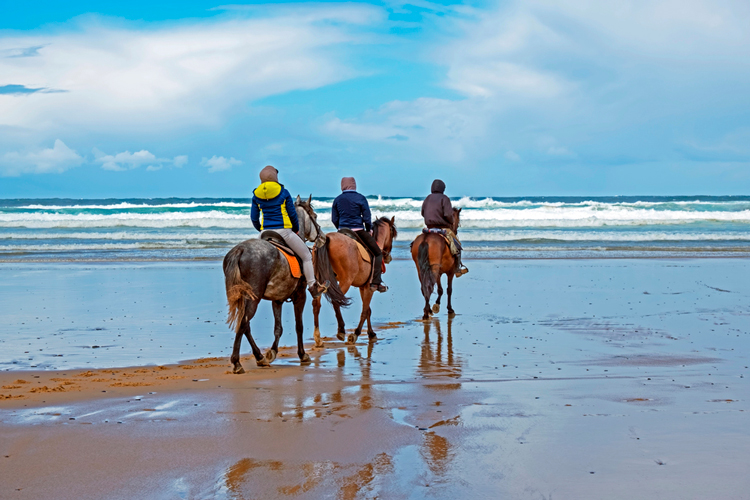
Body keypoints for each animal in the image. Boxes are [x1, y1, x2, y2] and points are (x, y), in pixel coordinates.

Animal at [222, 194, 348, 372]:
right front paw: (302, 354)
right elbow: (299, 326)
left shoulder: (278, 299)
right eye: (315, 216)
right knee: (244, 323)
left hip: (243, 297)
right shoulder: (300, 295)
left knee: (245, 325)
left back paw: (260, 357)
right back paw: (237, 362)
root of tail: (240, 250)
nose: (323, 237)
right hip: (253, 297)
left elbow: (278, 328)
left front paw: (272, 352)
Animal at [296, 199, 400, 344]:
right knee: (336, 301)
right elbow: (365, 310)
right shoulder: (369, 287)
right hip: (345, 281)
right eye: (392, 234)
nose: (388, 257)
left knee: (316, 303)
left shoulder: (363, 287)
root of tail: (327, 239)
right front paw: (356, 334)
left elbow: (368, 310)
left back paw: (317, 337)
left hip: (320, 280)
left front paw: (371, 333)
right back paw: (341, 330)